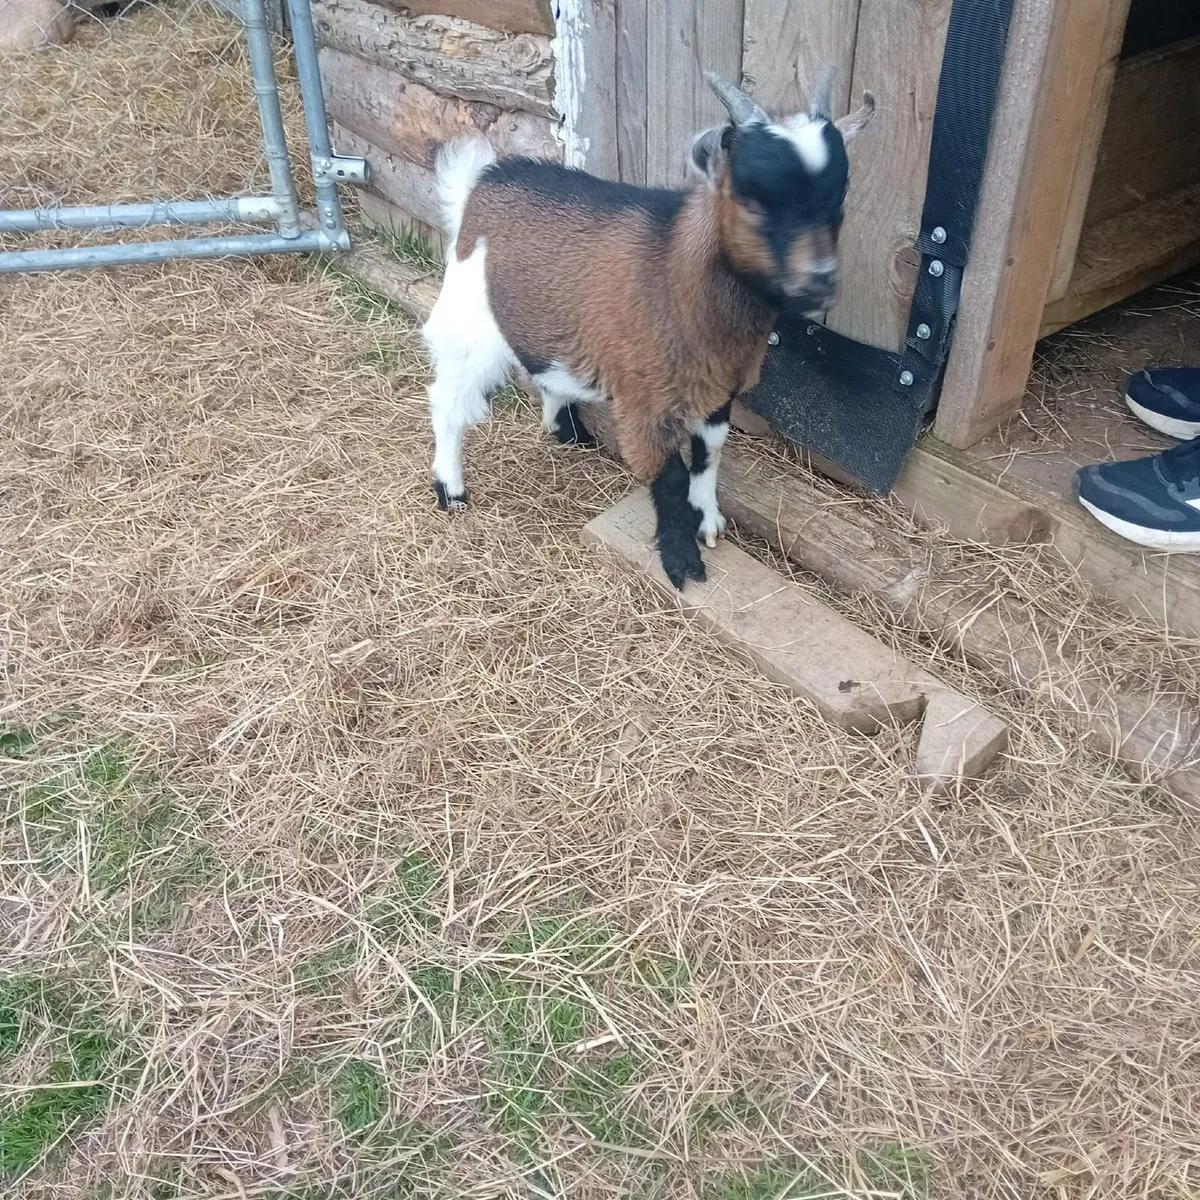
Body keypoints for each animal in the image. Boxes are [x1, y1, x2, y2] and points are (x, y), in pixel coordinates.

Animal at [421, 70, 875, 588]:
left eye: (837, 201)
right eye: (754, 200)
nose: (819, 282)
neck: (679, 268)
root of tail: (482, 181)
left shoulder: (720, 385)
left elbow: (709, 453)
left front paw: (707, 519)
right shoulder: (645, 396)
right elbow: (670, 475)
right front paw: (682, 562)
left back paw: (565, 430)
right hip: (469, 321)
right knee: (448, 400)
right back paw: (451, 489)